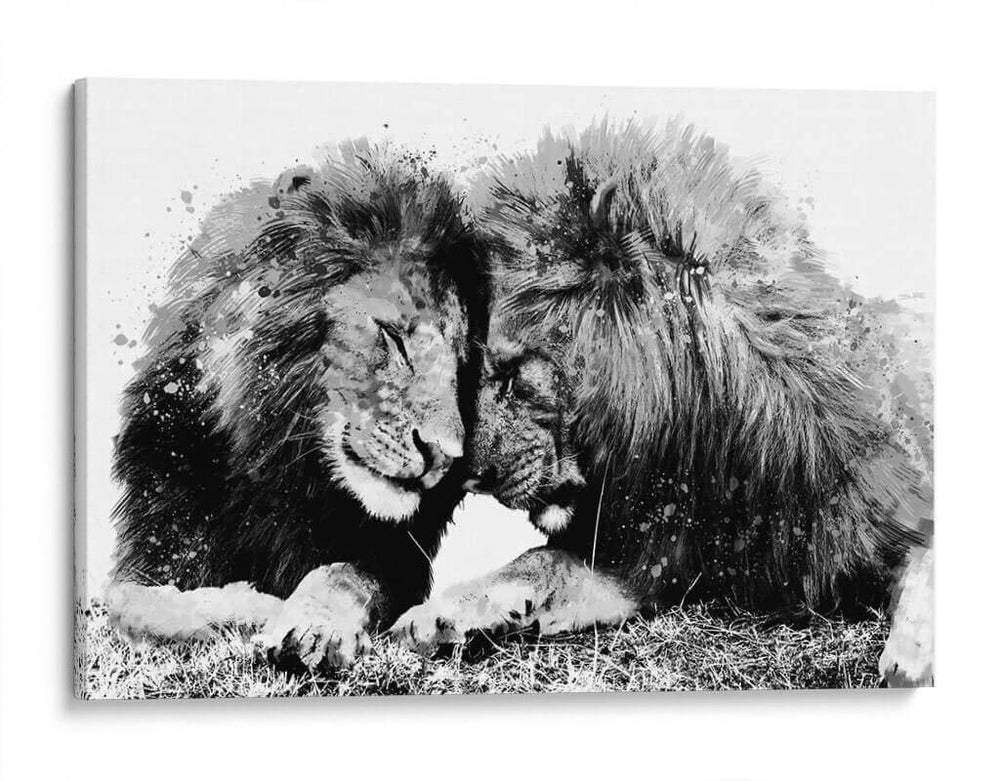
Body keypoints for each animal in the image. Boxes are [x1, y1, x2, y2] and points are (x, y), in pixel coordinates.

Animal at [106, 140, 489, 670]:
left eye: (461, 365)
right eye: (394, 337)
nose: (447, 459)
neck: (281, 475)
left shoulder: (396, 561)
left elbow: (344, 573)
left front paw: (314, 627)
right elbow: (129, 601)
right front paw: (256, 606)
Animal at [392, 120, 934, 687]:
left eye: (515, 372)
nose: (467, 477)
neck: (712, 451)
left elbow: (927, 560)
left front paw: (910, 658)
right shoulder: (644, 562)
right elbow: (536, 561)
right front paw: (433, 616)